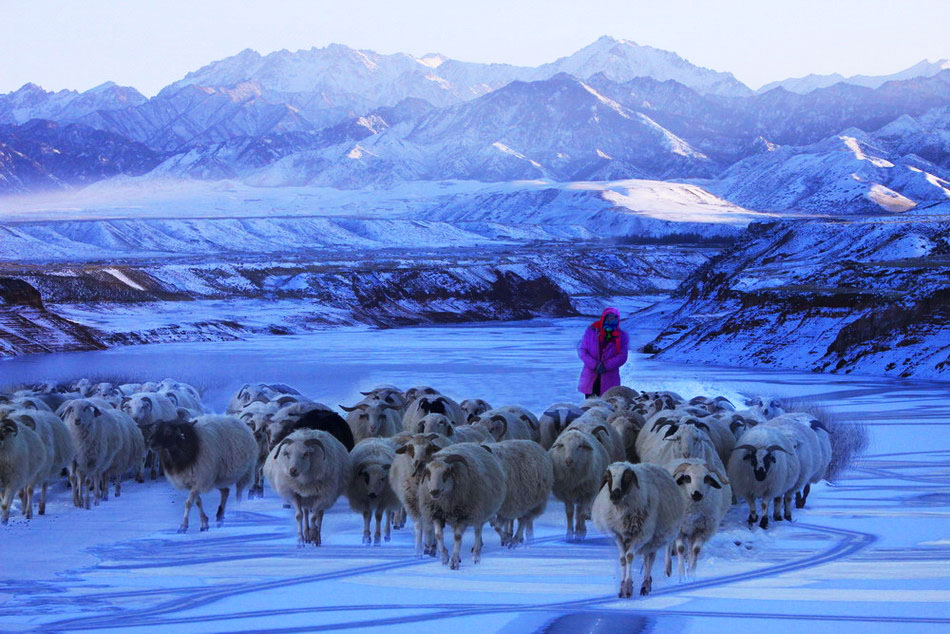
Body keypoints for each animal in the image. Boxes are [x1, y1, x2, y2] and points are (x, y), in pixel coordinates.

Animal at [422, 440, 510, 568]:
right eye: (428, 472)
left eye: (447, 472)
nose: (434, 491)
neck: (445, 503)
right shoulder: (436, 514)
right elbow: (438, 535)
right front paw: (445, 557)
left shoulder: (464, 515)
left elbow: (458, 537)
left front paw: (453, 561)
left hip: (479, 509)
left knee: (478, 531)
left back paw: (476, 555)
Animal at [596, 462, 684, 596]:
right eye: (609, 478)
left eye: (627, 477)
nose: (614, 496)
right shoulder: (617, 535)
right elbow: (623, 559)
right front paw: (622, 588)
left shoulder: (642, 535)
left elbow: (629, 557)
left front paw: (628, 588)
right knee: (647, 558)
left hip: (655, 537)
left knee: (650, 559)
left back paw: (646, 585)